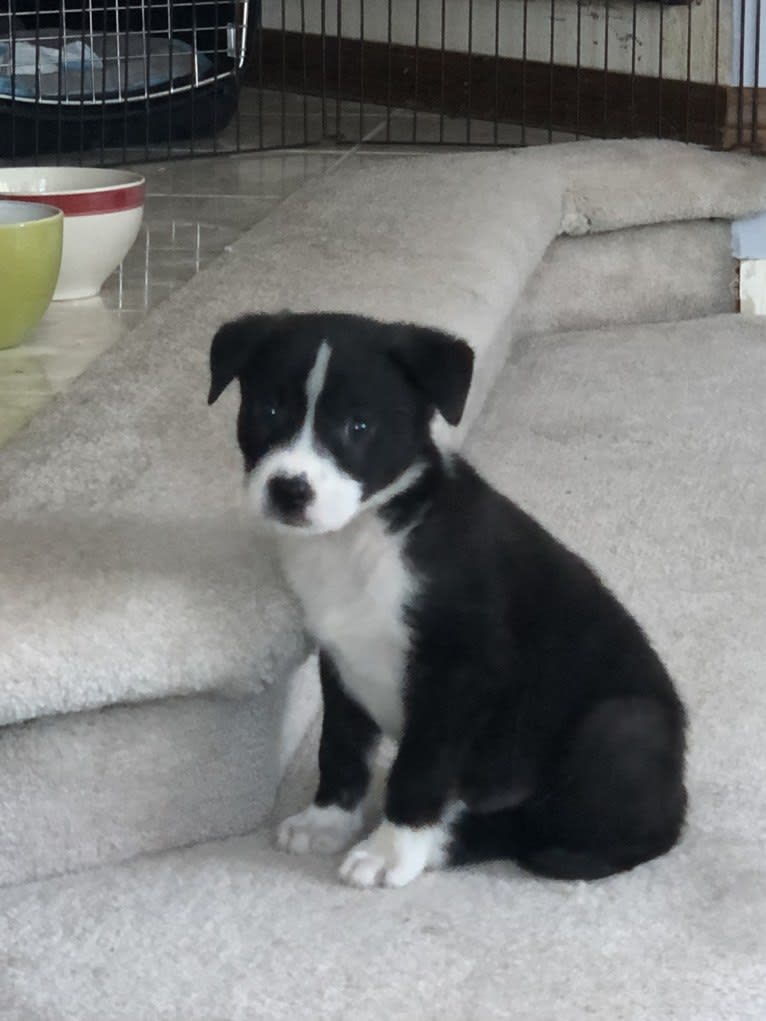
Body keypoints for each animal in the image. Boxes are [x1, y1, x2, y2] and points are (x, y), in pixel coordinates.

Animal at [210, 308, 690, 886]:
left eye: (359, 426)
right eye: (269, 409)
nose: (289, 490)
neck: (366, 538)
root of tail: (678, 799)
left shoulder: (459, 675)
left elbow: (419, 769)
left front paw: (391, 851)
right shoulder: (340, 659)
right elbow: (340, 746)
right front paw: (326, 821)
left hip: (623, 726)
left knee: (553, 832)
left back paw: (447, 841)